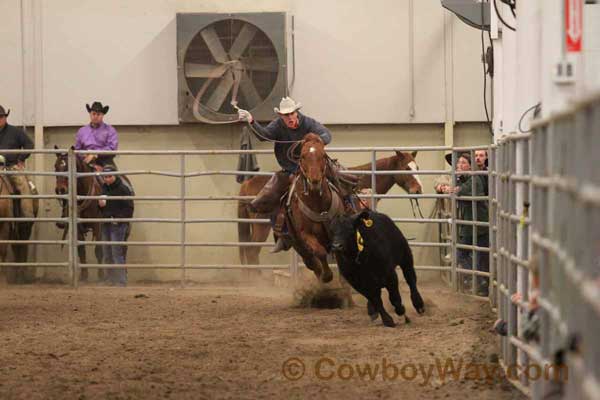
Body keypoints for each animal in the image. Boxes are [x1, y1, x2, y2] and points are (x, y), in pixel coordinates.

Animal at [54, 148, 103, 282]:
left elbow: (98, 249)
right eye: (55, 166)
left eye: (67, 167)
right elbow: (81, 249)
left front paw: (101, 275)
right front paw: (84, 275)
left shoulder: (97, 224)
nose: (60, 189)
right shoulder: (78, 226)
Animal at [237, 150, 424, 266]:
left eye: (417, 167)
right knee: (252, 250)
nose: (418, 190)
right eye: (406, 168)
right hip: (261, 226)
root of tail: (247, 183)